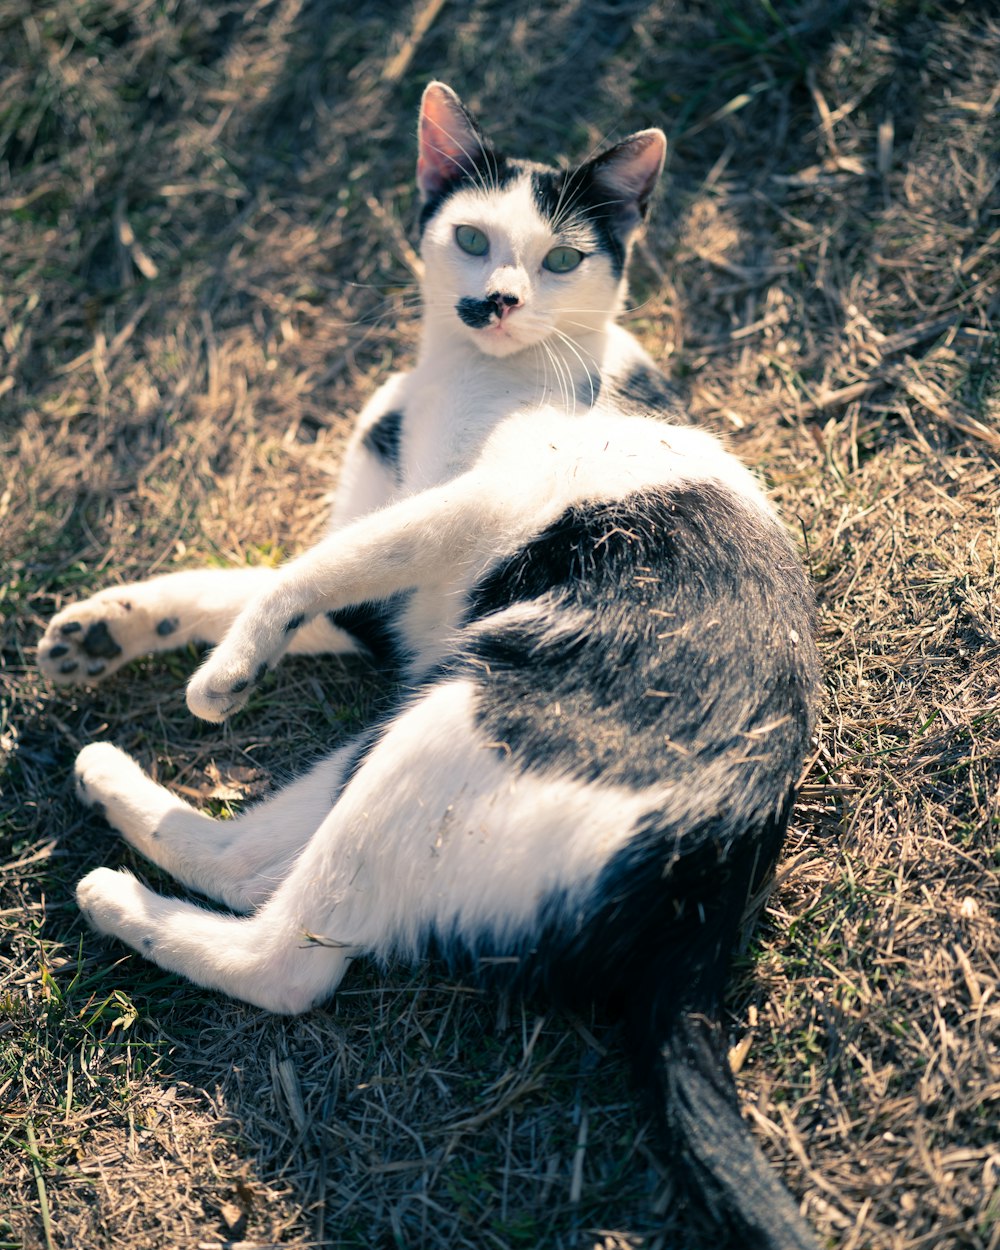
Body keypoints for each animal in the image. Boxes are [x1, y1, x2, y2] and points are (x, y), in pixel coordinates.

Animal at [39, 85, 820, 1250]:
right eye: (474, 237)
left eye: (561, 258)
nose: (495, 300)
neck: (461, 387)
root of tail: (702, 898)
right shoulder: (390, 620)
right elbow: (258, 576)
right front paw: (109, 628)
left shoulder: (480, 506)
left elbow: (300, 570)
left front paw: (224, 674)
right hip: (428, 697)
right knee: (255, 859)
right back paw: (113, 787)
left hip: (471, 712)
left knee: (291, 958)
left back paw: (118, 899)